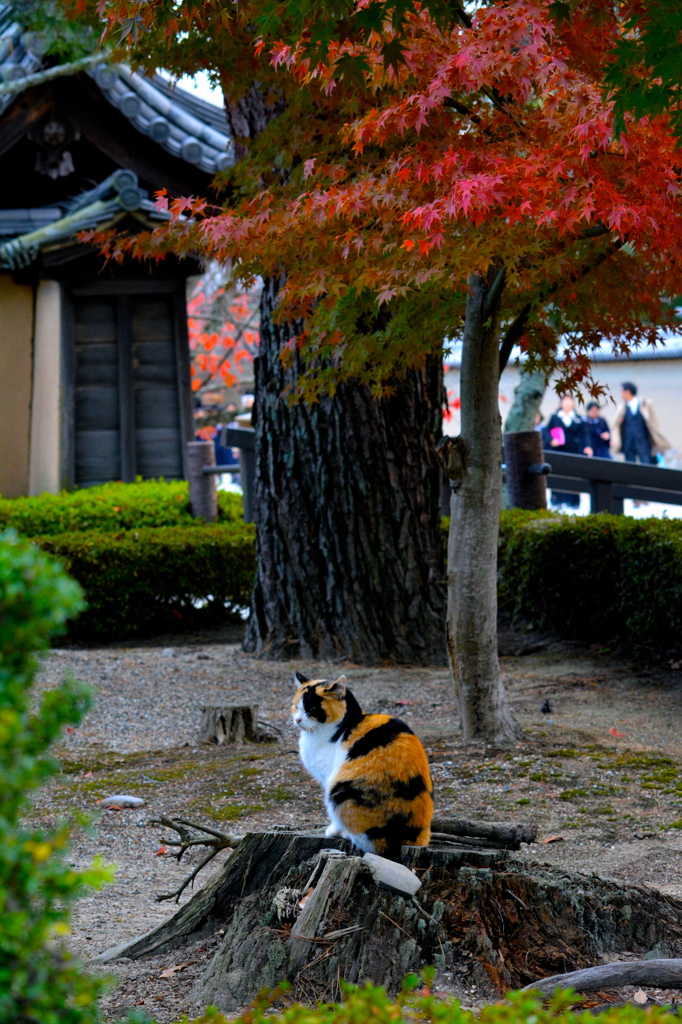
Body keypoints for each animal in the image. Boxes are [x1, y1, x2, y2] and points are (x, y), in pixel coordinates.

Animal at [290, 667, 430, 860]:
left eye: (312, 708)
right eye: (296, 706)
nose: (297, 720)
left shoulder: (329, 779)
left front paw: (333, 830)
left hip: (340, 791)